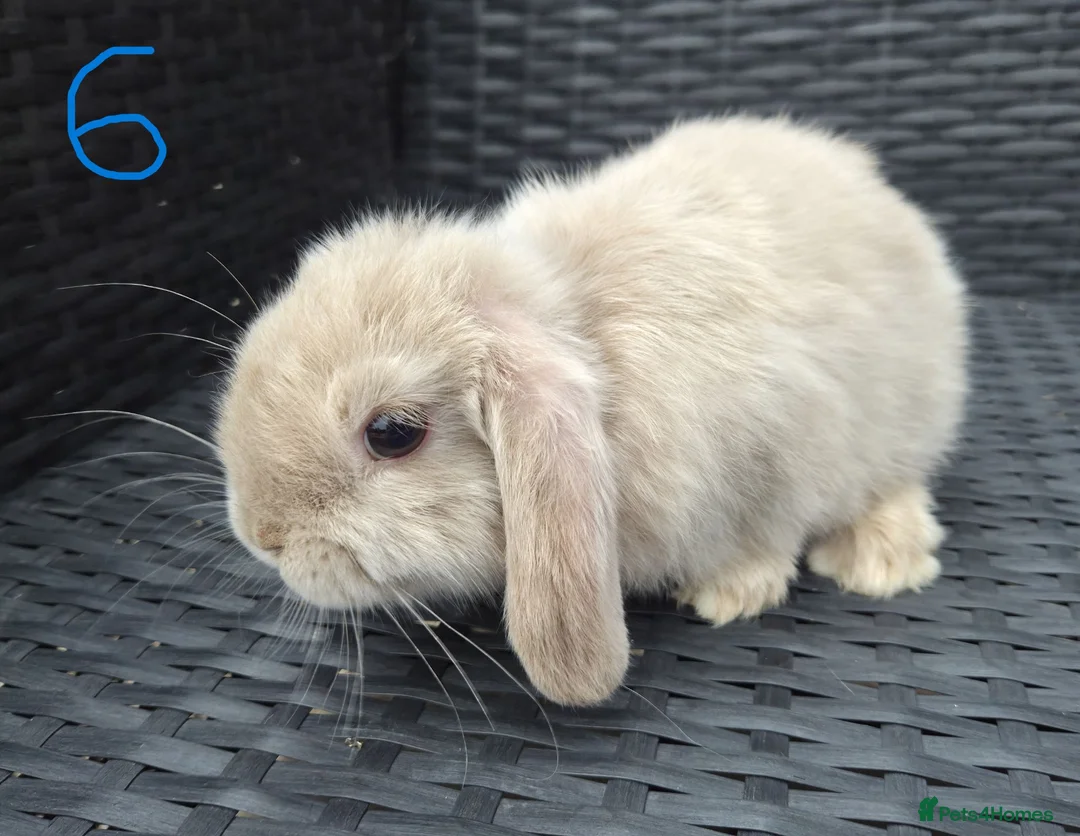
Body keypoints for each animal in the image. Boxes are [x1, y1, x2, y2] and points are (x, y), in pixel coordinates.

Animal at [215, 114, 968, 707]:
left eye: (393, 434)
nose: (261, 536)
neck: (588, 337)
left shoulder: (776, 452)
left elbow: (762, 534)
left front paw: (730, 594)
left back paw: (881, 559)